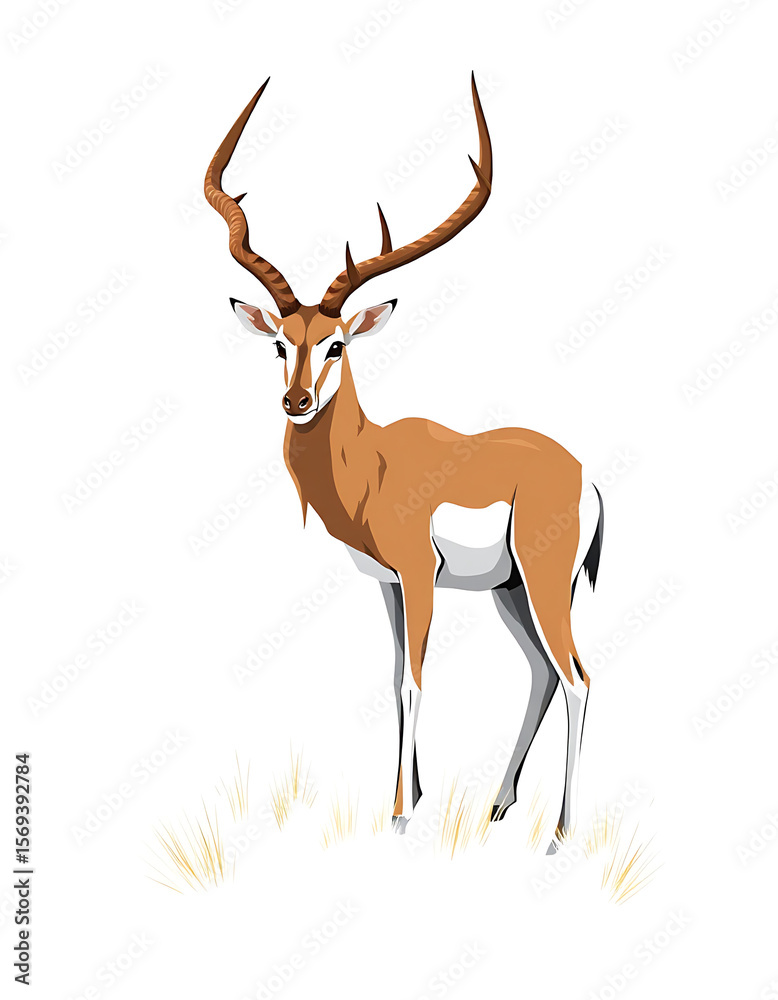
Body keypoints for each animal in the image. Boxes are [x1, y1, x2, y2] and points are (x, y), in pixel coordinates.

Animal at [204, 75, 604, 853]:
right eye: (281, 344)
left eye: (336, 344)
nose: (297, 400)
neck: (372, 466)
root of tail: (585, 476)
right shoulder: (387, 585)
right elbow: (393, 681)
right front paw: (408, 795)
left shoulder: (419, 577)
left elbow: (417, 682)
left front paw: (400, 815)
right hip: (511, 590)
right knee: (543, 674)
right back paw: (499, 806)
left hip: (542, 582)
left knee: (578, 679)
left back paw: (559, 836)